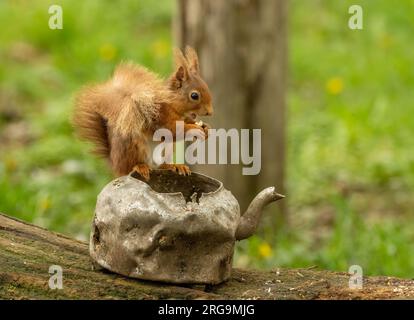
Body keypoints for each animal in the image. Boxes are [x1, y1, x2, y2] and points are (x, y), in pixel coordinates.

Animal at [72, 46, 212, 180]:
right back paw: (140, 167)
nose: (210, 112)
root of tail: (115, 165)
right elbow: (172, 130)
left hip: (166, 150)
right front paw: (194, 129)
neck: (173, 105)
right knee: (131, 166)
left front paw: (206, 129)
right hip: (133, 146)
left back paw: (174, 166)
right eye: (194, 96)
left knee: (161, 166)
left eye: (207, 87)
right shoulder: (161, 115)